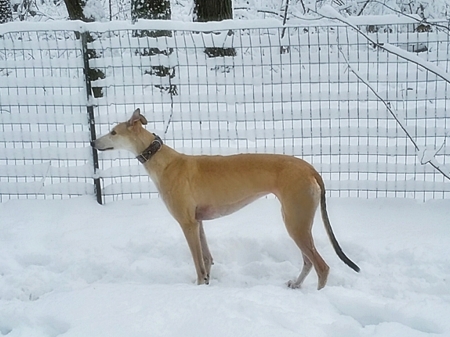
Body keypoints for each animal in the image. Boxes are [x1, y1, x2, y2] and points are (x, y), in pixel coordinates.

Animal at [93, 108, 360, 288]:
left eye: (113, 131)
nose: (93, 142)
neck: (164, 160)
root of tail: (309, 168)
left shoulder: (187, 224)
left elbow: (198, 262)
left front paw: (198, 285)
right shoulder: (198, 222)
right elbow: (207, 258)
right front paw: (207, 282)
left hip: (296, 223)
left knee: (322, 266)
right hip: (297, 222)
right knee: (308, 262)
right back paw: (295, 284)